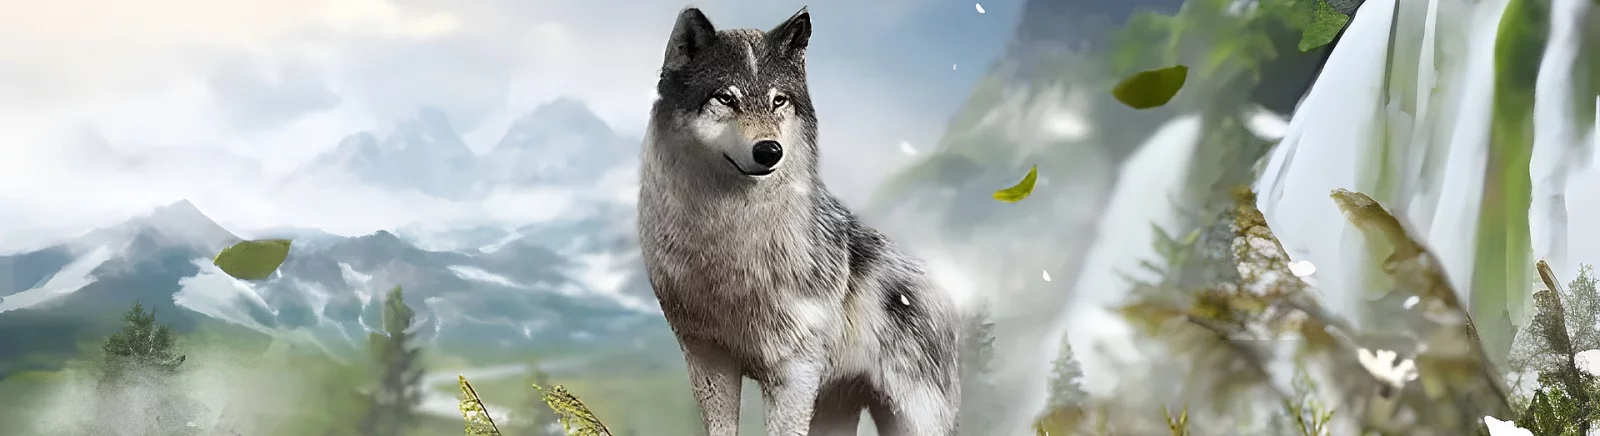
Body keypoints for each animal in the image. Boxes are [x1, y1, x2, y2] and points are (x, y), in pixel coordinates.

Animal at [636, 6, 963, 436]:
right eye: (726, 98)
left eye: (779, 100)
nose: (769, 150)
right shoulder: (708, 360)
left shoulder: (793, 373)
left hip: (909, 417)